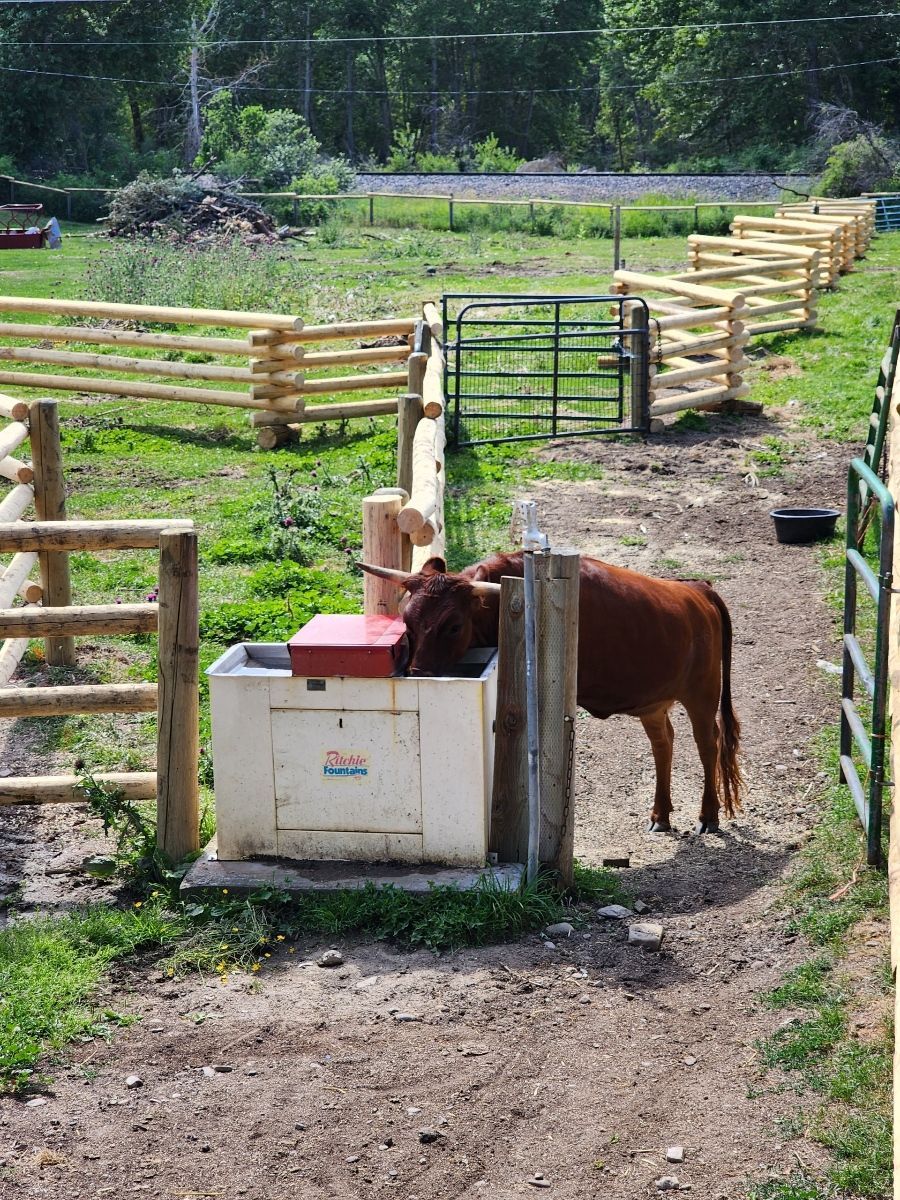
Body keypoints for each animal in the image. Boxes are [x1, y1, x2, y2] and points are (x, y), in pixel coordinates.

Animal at [360, 553, 742, 835]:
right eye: (407, 622)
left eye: (453, 626)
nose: (418, 674)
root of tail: (698, 588)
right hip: (653, 701)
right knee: (664, 743)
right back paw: (660, 815)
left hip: (703, 693)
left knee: (708, 744)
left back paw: (708, 816)